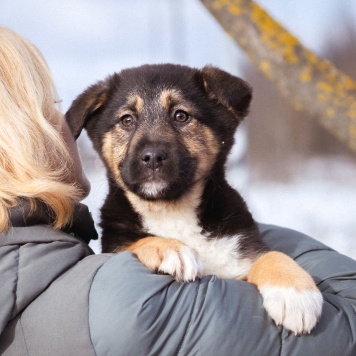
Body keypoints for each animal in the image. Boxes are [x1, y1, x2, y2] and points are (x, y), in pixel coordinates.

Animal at [66, 64, 322, 334]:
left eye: (181, 116)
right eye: (127, 120)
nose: (152, 157)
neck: (172, 209)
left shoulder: (239, 258)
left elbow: (269, 255)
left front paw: (295, 292)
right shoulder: (114, 247)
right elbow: (135, 243)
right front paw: (168, 248)